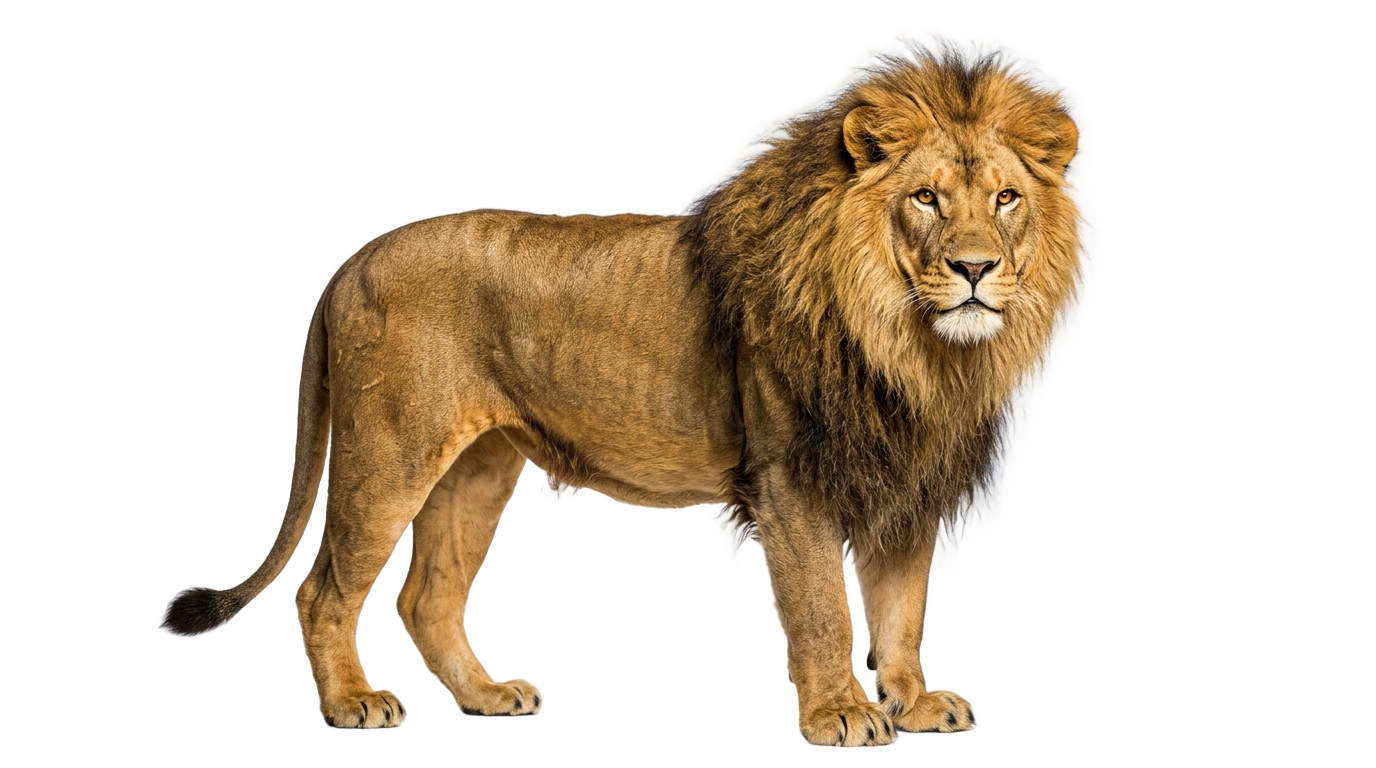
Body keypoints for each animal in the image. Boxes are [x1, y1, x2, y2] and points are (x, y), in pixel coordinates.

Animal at [163, 42, 1081, 746]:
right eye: (926, 198)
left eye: (1006, 198)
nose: (974, 268)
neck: (910, 348)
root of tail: (352, 261)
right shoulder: (790, 482)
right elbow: (824, 607)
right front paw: (841, 715)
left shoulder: (910, 477)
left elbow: (901, 607)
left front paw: (913, 702)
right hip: (388, 455)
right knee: (323, 589)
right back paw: (353, 704)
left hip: (478, 467)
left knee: (426, 597)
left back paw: (485, 697)